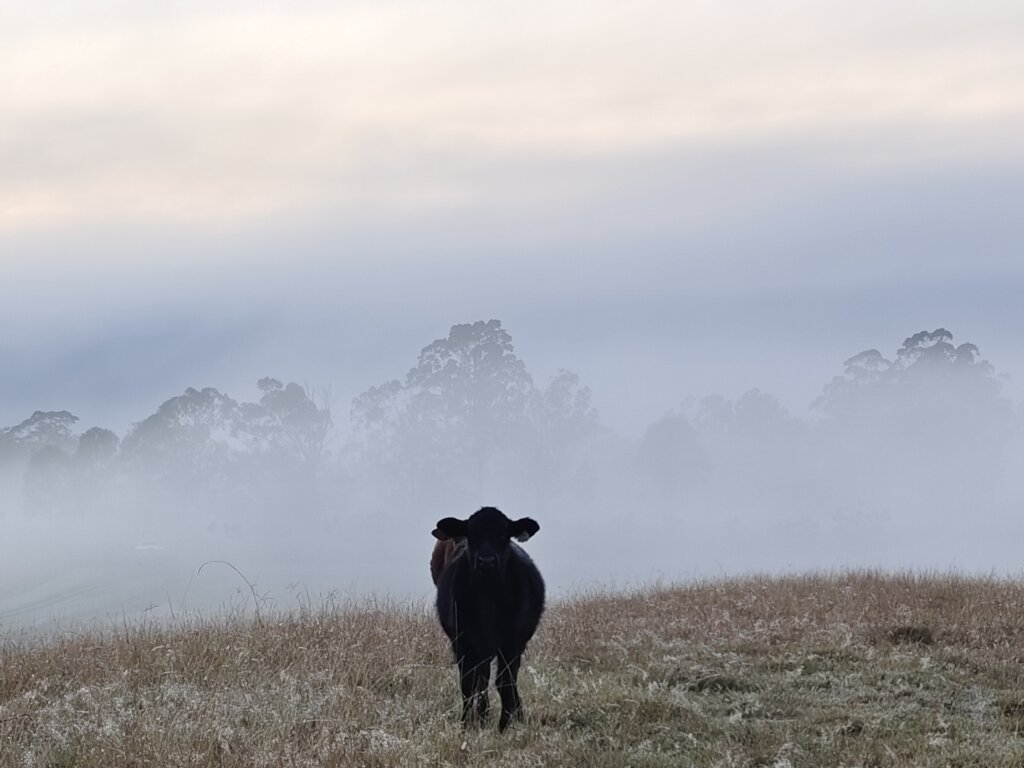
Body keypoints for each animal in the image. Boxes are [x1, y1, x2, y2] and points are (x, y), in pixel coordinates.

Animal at [430, 507, 544, 729]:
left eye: (504, 535)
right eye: (471, 535)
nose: (487, 561)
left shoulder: (513, 641)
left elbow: (505, 680)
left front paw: (505, 723)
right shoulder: (464, 640)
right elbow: (470, 682)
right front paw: (471, 721)